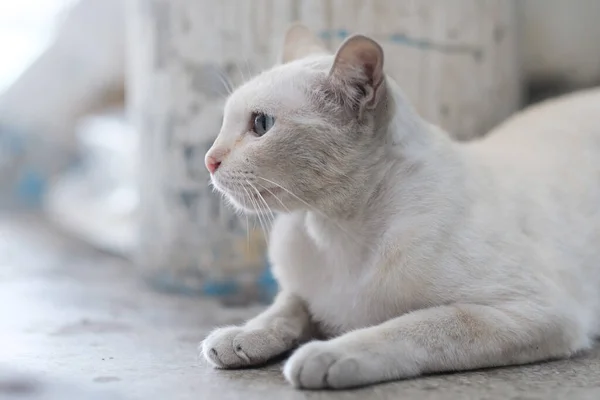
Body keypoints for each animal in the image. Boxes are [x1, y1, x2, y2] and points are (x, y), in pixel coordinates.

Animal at [200, 23, 600, 390]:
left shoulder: (534, 310)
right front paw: (240, 337)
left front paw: (327, 354)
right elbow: (285, 309)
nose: (209, 160)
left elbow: (414, 327)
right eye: (226, 122)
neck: (335, 228)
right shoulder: (303, 291)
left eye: (261, 124)